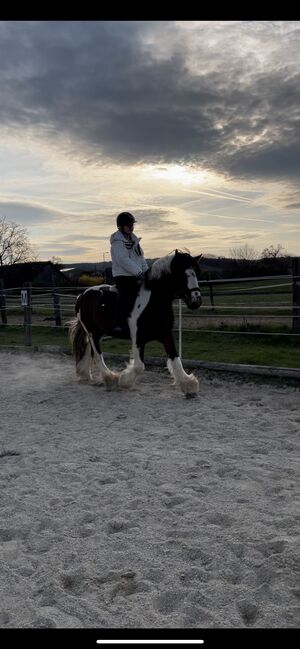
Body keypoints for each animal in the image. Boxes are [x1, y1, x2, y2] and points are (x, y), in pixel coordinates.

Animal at [69, 251, 203, 398]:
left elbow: (176, 360)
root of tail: (82, 295)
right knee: (98, 355)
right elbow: (139, 366)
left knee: (89, 350)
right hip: (93, 332)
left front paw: (188, 385)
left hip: (95, 333)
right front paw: (124, 380)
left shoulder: (166, 334)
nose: (196, 301)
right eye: (182, 274)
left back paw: (85, 374)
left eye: (196, 272)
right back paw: (110, 378)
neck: (154, 302)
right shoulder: (138, 338)